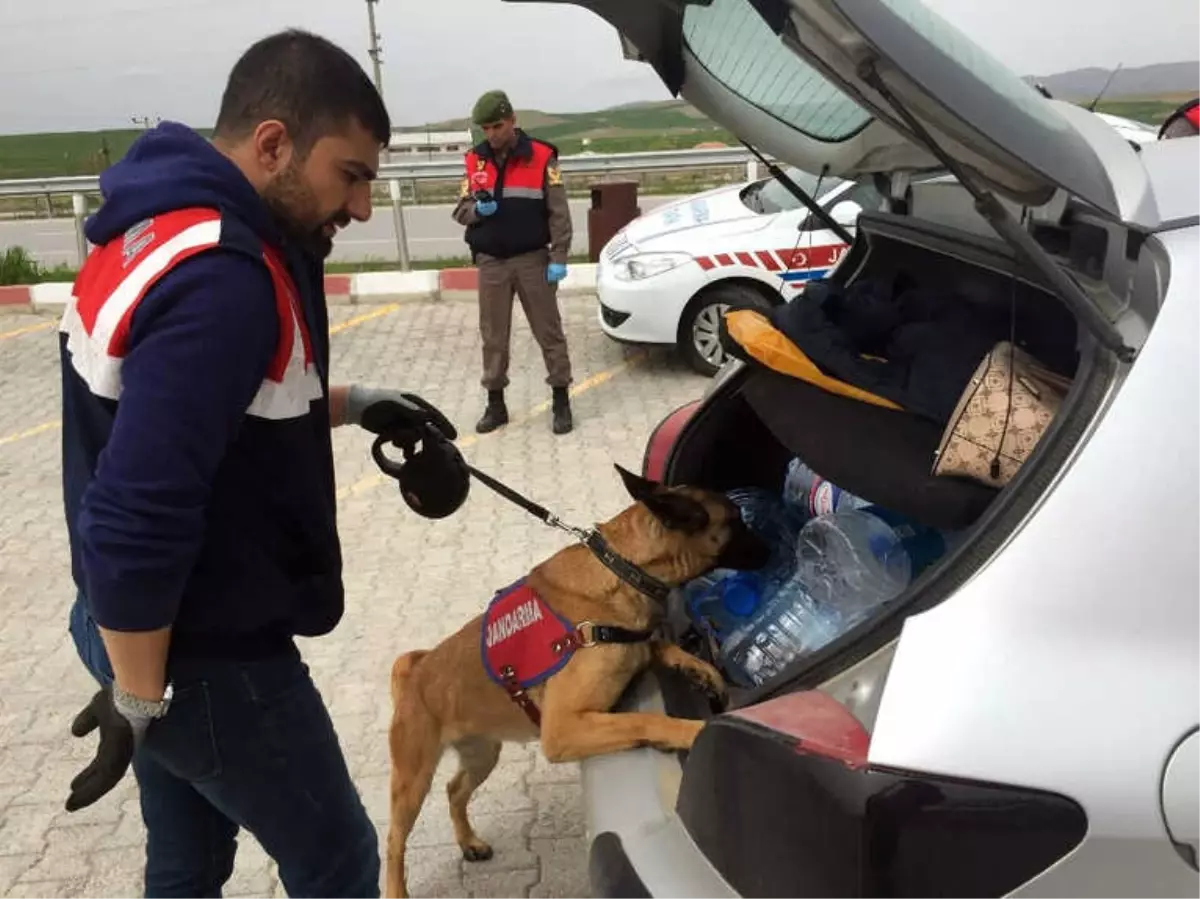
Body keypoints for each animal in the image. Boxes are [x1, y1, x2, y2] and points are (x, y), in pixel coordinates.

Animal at [384, 465, 768, 892]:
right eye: (736, 520)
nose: (772, 547)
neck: (623, 568)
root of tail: (415, 672)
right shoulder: (563, 730)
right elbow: (643, 718)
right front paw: (690, 730)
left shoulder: (633, 647)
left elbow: (658, 646)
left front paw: (700, 670)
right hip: (413, 780)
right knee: (394, 841)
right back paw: (396, 887)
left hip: (482, 754)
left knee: (454, 791)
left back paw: (469, 842)